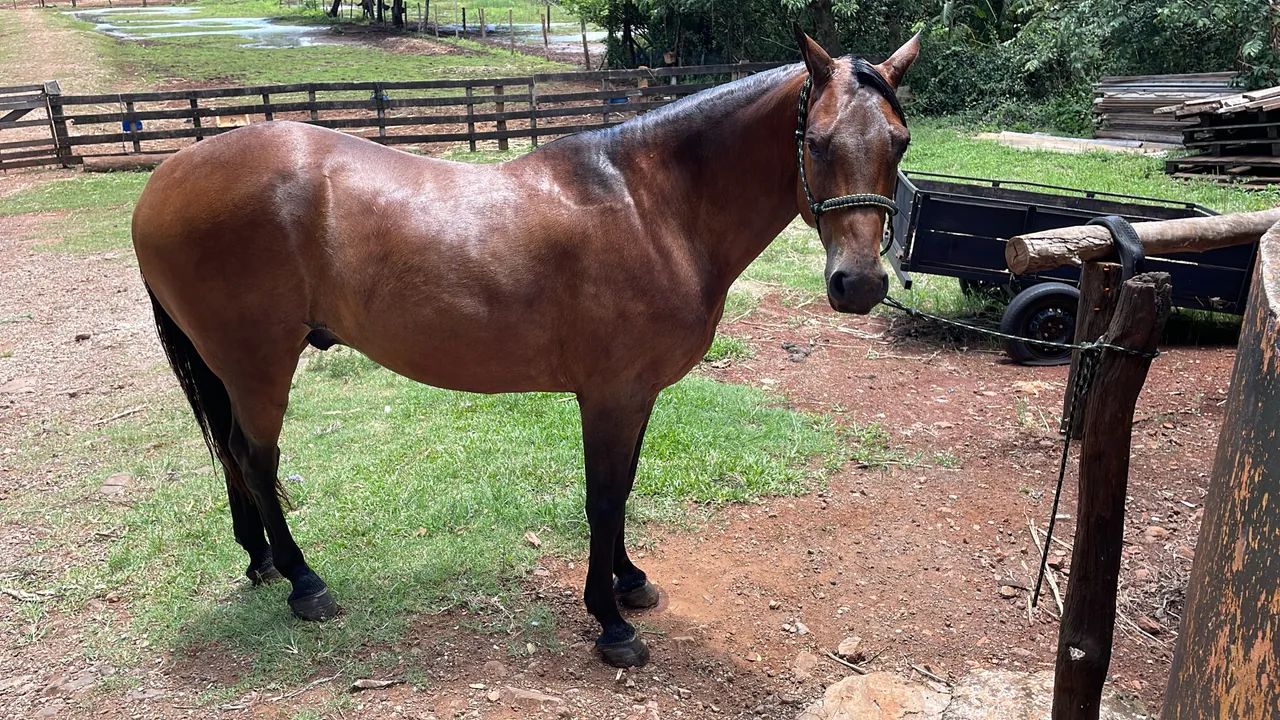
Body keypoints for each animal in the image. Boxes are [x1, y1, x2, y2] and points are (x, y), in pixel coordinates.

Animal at [131, 30, 919, 668]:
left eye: (900, 142)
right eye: (815, 142)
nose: (858, 284)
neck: (652, 207)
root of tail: (164, 179)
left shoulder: (634, 396)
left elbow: (623, 490)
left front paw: (629, 583)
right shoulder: (610, 395)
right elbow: (603, 497)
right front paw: (610, 624)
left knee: (234, 456)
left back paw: (262, 561)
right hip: (259, 365)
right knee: (256, 460)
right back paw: (305, 583)